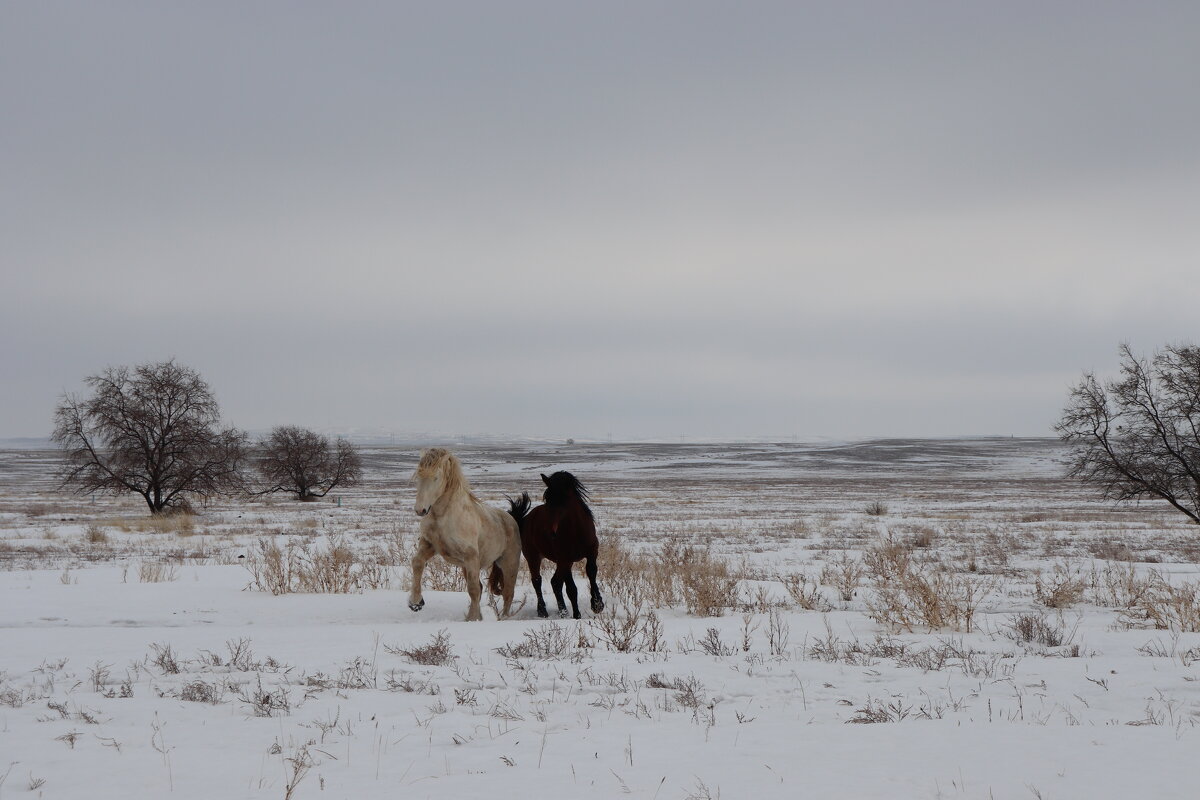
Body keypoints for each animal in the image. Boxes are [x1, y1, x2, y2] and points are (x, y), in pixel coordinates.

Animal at [408, 448, 520, 623]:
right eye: (419, 476)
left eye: (436, 477)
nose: (420, 510)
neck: (443, 516)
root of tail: (511, 518)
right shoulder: (429, 545)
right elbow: (417, 563)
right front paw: (415, 602)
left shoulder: (470, 556)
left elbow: (473, 589)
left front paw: (472, 619)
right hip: (466, 567)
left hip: (509, 564)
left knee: (508, 593)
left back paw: (504, 618)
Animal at [508, 470, 604, 618]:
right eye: (547, 499)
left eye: (563, 500)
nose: (550, 532)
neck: (576, 531)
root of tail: (525, 519)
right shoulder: (565, 559)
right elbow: (571, 589)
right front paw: (577, 615)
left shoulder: (591, 553)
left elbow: (592, 573)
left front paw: (597, 604)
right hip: (534, 558)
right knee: (537, 581)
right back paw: (543, 611)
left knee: (555, 582)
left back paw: (562, 611)